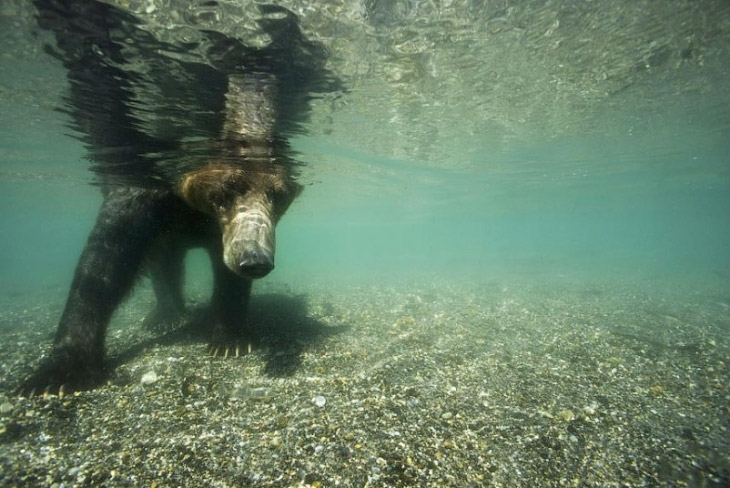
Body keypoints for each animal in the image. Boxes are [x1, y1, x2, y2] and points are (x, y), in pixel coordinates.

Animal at [18, 0, 334, 392]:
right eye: (226, 189)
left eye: (279, 196)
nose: (255, 259)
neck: (193, 208)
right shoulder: (144, 191)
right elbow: (104, 263)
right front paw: (59, 370)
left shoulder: (221, 229)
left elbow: (226, 273)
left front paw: (230, 338)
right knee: (160, 262)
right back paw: (165, 314)